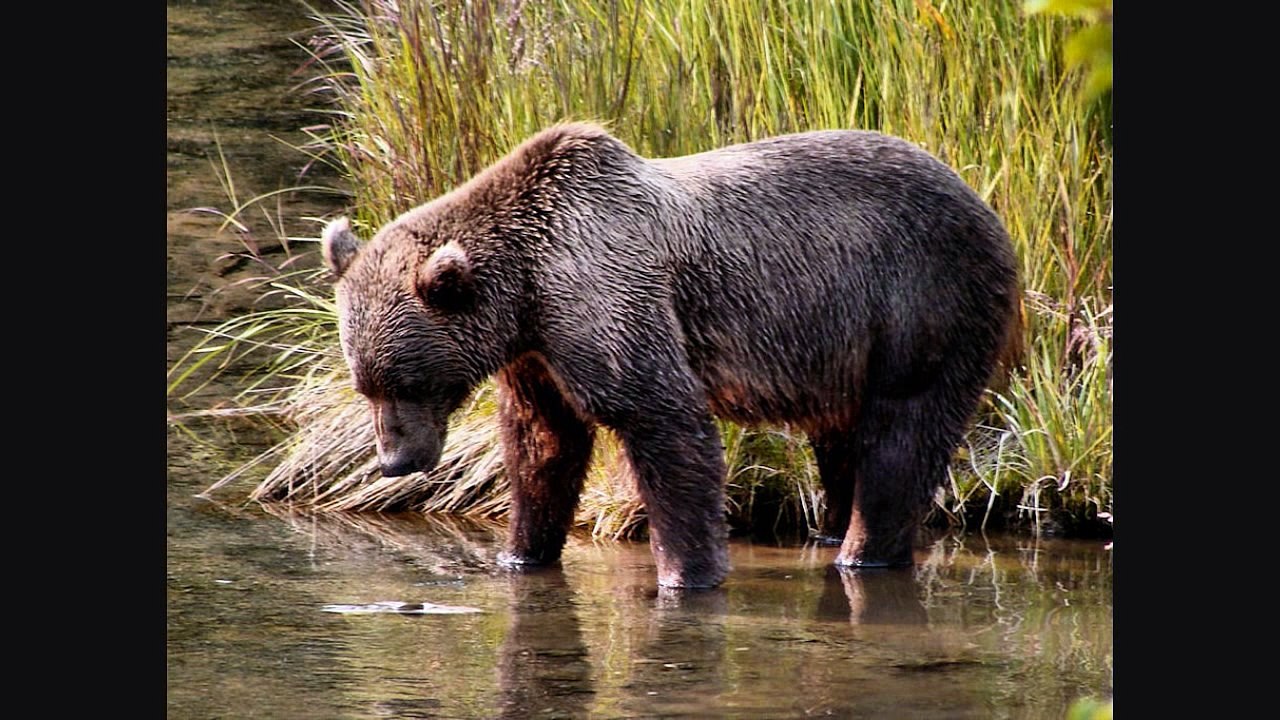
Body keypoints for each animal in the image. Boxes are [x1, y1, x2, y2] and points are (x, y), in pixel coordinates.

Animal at [320, 122, 1020, 589]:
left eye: (407, 381)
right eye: (365, 385)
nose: (393, 459)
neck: (525, 289)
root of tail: (983, 202)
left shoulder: (604, 292)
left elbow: (661, 418)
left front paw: (688, 573)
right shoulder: (536, 355)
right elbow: (543, 445)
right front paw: (521, 553)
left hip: (923, 300)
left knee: (900, 435)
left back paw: (861, 551)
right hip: (845, 350)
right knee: (841, 442)